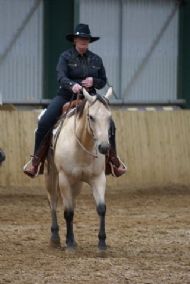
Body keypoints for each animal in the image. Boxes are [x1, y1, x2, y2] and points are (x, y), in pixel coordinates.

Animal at [44, 87, 113, 250]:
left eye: (109, 117)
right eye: (91, 117)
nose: (104, 147)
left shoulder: (98, 178)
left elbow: (101, 208)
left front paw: (102, 243)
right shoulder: (64, 179)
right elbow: (68, 212)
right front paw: (69, 244)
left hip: (77, 184)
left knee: (72, 203)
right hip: (51, 175)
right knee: (53, 201)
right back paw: (55, 237)